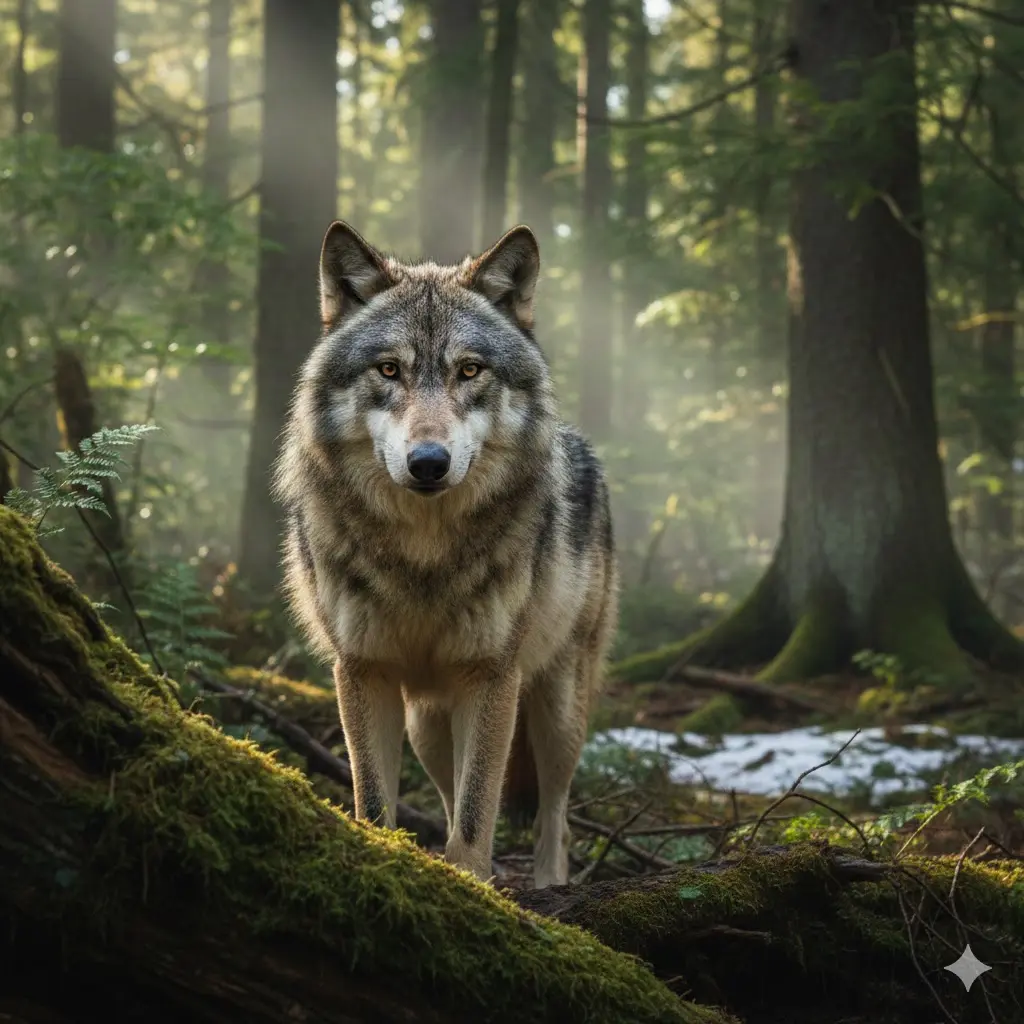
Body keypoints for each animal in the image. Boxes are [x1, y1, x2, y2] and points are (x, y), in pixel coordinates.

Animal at [273, 220, 619, 888]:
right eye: (388, 370)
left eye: (469, 371)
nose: (428, 463)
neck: (424, 555)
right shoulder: (363, 670)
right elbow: (376, 802)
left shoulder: (490, 675)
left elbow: (478, 815)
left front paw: (474, 888)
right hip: (427, 723)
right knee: (448, 786)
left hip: (556, 707)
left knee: (554, 814)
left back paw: (549, 886)